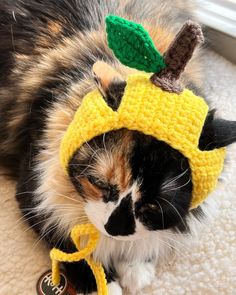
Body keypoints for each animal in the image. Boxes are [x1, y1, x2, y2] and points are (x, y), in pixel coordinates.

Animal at [0, 0, 236, 295]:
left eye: (153, 206)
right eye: (99, 184)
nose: (115, 229)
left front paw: (136, 269)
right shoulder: (33, 187)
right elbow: (69, 244)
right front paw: (104, 283)